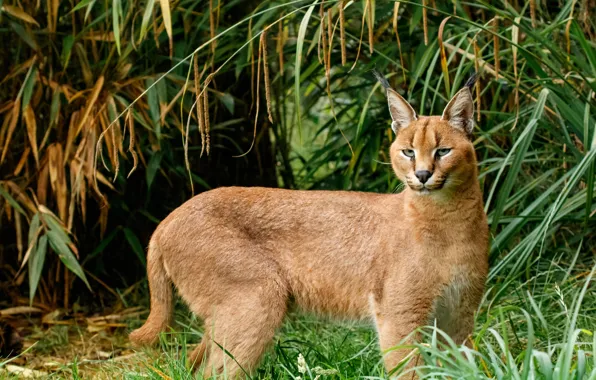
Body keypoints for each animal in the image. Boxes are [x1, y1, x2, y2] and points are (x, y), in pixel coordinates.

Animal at [128, 71, 486, 378]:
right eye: (408, 152)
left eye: (443, 151)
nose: (422, 175)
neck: (449, 219)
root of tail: (166, 220)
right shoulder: (400, 315)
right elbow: (408, 370)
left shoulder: (459, 315)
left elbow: (462, 367)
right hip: (258, 298)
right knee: (214, 372)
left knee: (193, 360)